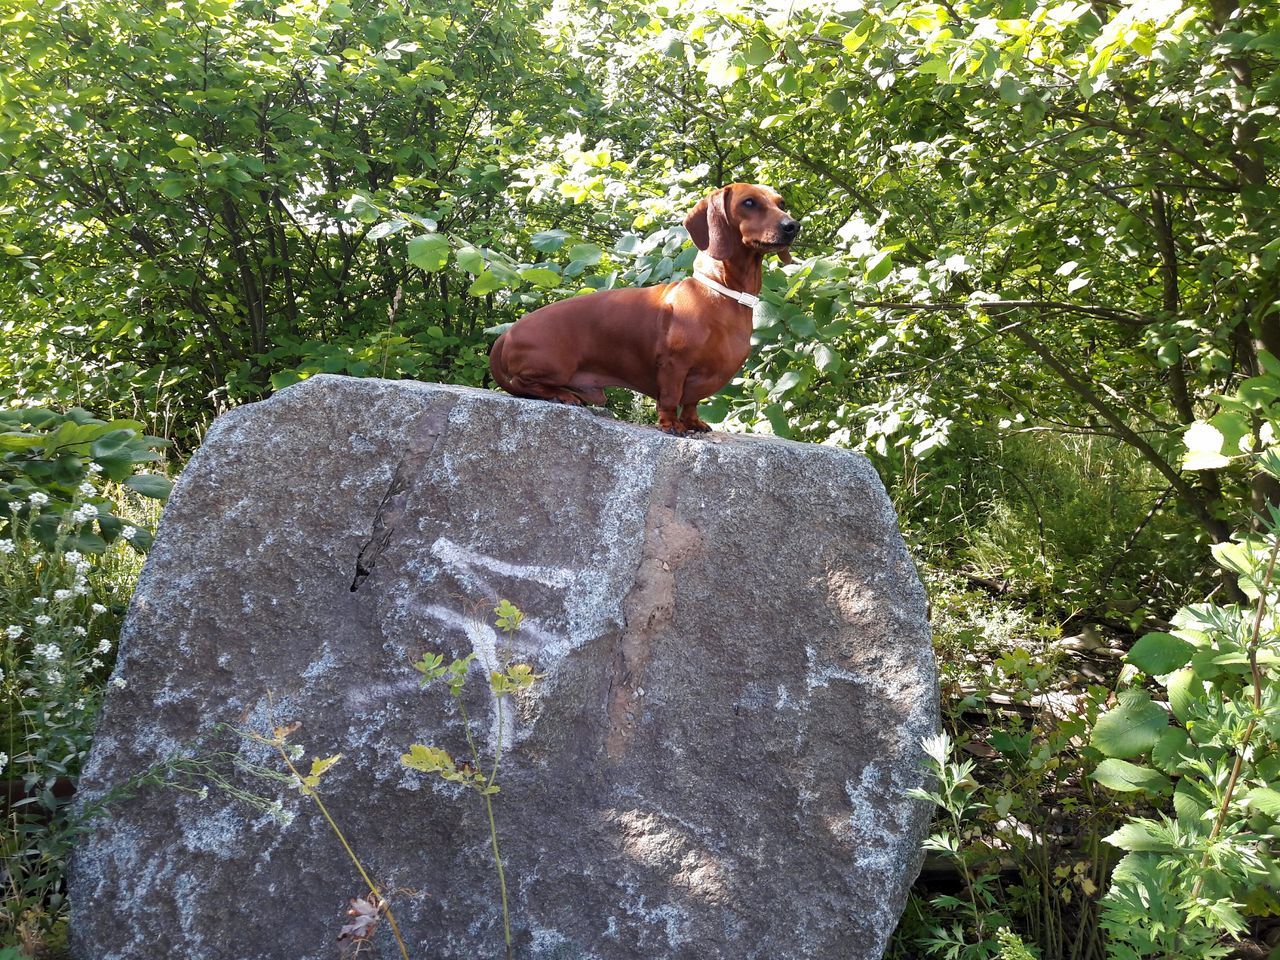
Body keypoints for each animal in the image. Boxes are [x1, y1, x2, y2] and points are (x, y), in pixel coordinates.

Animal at [488, 184, 798, 432]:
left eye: (781, 202)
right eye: (749, 202)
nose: (793, 226)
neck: (722, 295)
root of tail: (507, 333)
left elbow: (692, 402)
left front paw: (692, 422)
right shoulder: (674, 365)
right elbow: (670, 399)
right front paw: (671, 424)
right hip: (556, 366)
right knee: (523, 384)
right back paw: (562, 395)